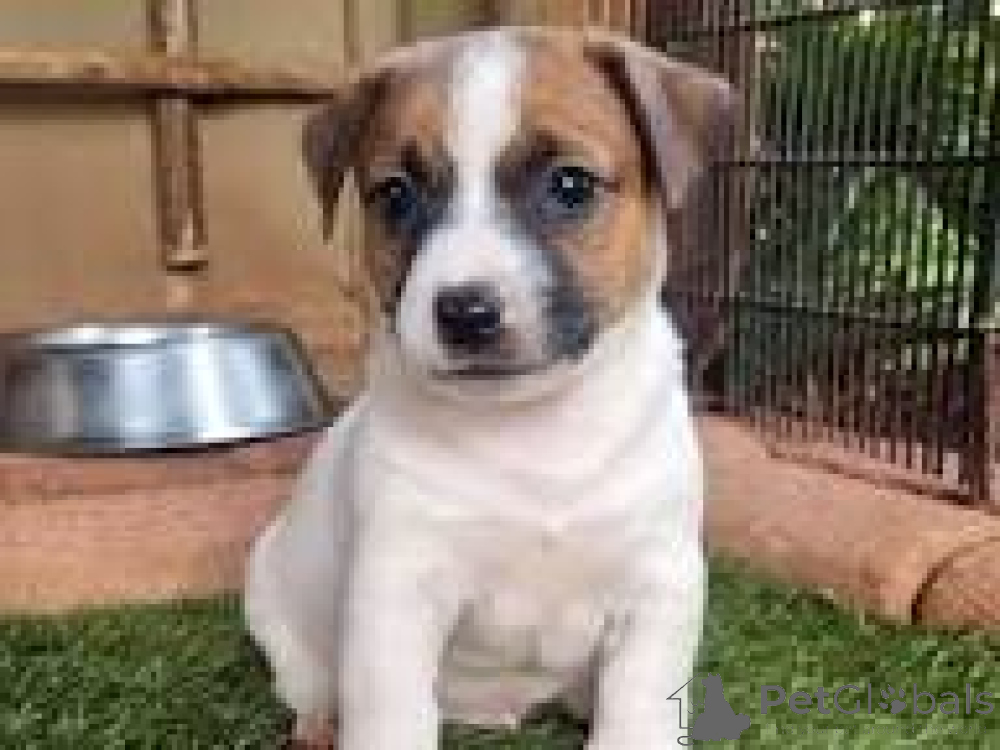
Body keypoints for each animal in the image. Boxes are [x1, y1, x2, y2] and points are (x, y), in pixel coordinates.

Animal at [244, 26, 736, 750]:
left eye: (570, 185)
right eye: (395, 195)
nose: (465, 312)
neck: (533, 428)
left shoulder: (660, 586)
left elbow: (638, 707)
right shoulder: (397, 591)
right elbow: (393, 715)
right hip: (277, 608)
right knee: (305, 679)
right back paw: (316, 722)